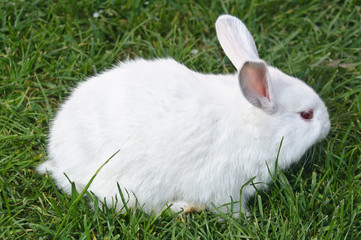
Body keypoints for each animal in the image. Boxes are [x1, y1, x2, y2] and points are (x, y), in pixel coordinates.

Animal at [36, 15, 330, 218]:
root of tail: (59, 159)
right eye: (306, 115)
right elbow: (230, 209)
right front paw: (247, 220)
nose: (327, 126)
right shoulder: (226, 187)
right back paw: (184, 207)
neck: (255, 127)